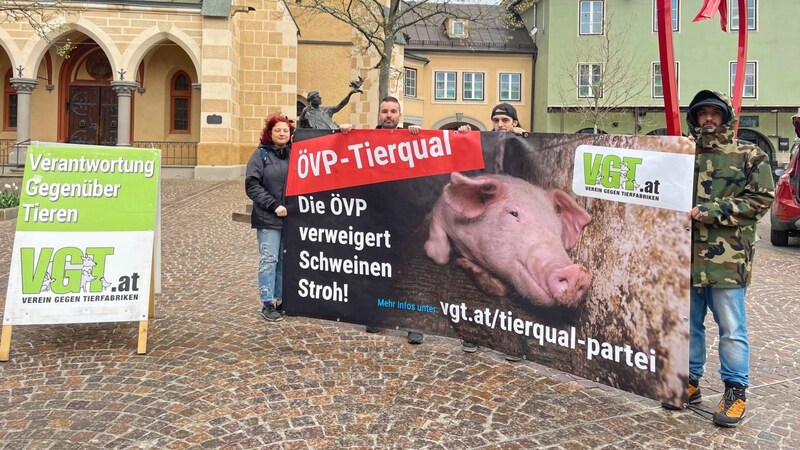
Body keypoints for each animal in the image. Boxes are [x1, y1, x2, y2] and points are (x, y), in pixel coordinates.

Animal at [282, 128, 692, 406]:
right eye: (513, 214)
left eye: (557, 229)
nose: (577, 274)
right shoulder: (439, 212)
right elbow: (438, 249)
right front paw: (444, 254)